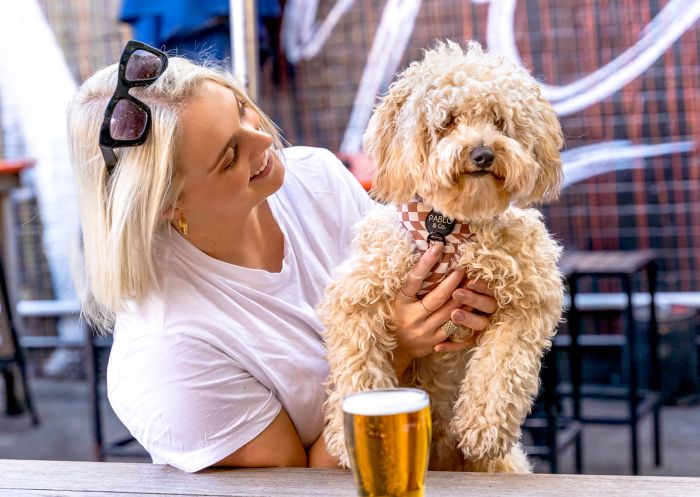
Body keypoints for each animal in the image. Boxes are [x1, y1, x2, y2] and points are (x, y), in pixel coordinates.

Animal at [320, 40, 568, 470]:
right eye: (447, 121)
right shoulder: (356, 295)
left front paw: (483, 428)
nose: (483, 153)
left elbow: (502, 366)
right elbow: (358, 363)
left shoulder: (529, 300)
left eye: (499, 121)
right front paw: (347, 432)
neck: (450, 228)